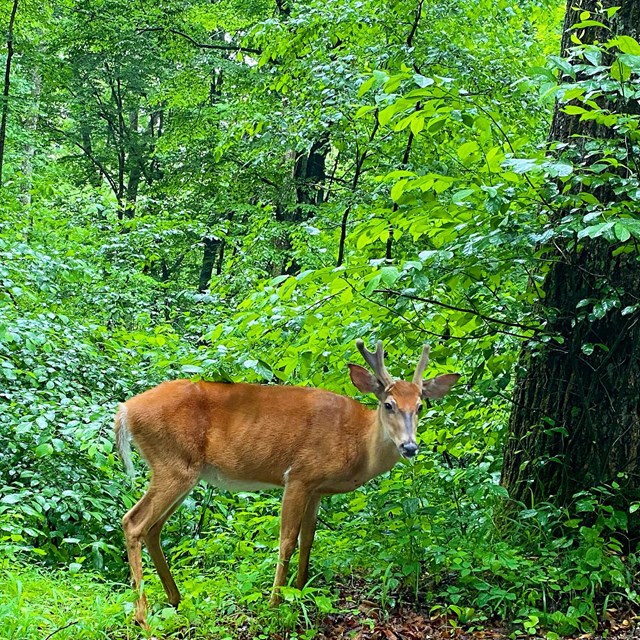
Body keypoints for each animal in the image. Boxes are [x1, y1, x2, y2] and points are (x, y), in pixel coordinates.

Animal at [115, 338, 460, 628]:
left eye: (420, 405)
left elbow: (308, 539)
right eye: (388, 404)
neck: (357, 442)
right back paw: (142, 617)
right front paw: (275, 603)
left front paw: (301, 589)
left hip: (182, 471)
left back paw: (174, 600)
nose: (410, 447)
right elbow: (286, 541)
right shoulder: (298, 475)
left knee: (153, 528)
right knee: (133, 522)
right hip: (173, 463)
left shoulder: (317, 488)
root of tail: (125, 410)